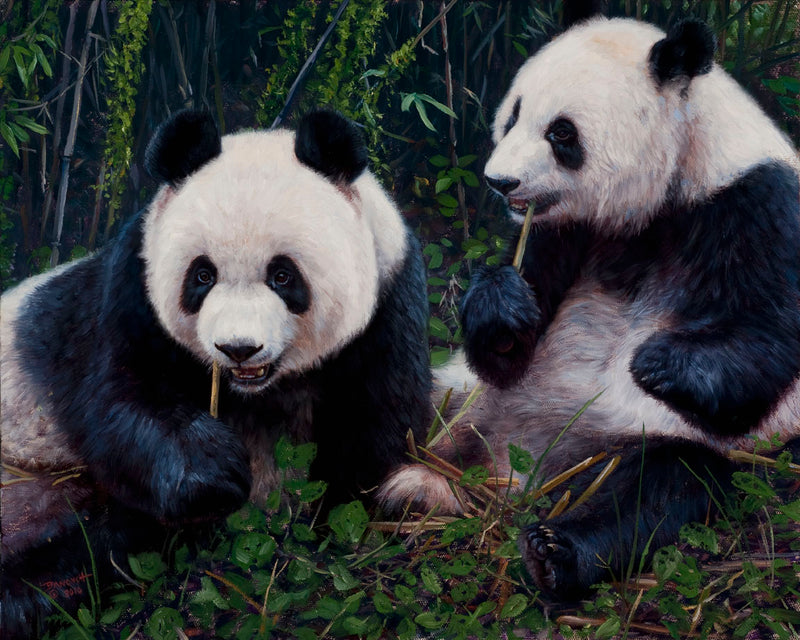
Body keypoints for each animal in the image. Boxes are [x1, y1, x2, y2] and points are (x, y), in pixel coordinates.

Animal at [0, 109, 431, 636]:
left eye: (283, 275)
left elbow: (378, 427)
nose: (238, 349)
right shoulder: (129, 293)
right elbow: (123, 404)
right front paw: (215, 471)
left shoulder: (388, 304)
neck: (261, 390)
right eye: (202, 275)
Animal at [379, 16, 800, 601]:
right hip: (455, 396)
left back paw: (552, 552)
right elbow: (510, 346)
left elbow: (768, 340)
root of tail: (506, 471)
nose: (499, 181)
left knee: (655, 488)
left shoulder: (754, 203)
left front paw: (658, 363)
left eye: (562, 133)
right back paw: (408, 486)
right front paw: (502, 306)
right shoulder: (560, 231)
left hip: (636, 442)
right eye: (513, 114)